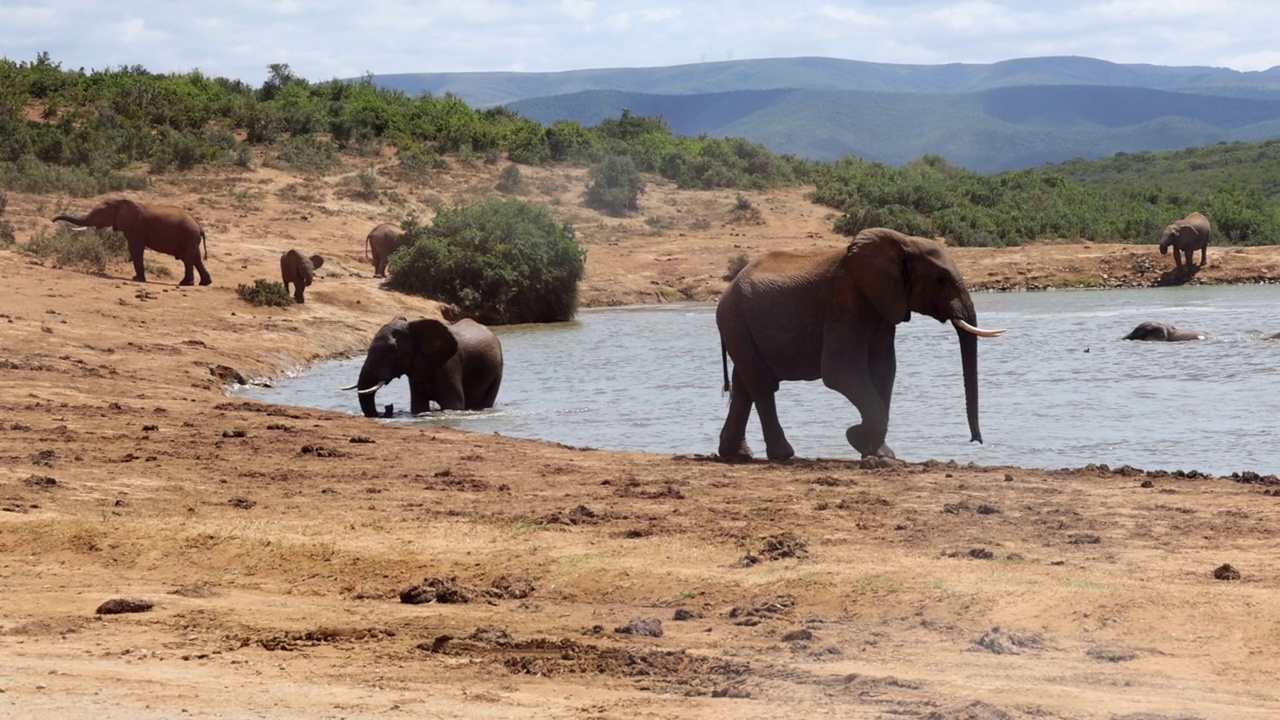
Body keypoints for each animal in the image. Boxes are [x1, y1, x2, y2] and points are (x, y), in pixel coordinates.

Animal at [51, 197, 209, 286]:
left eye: (101, 213)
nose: (52, 220)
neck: (121, 202)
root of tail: (199, 226)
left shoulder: (135, 228)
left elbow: (135, 249)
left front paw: (137, 279)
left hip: (188, 236)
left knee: (187, 259)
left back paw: (185, 284)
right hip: (192, 239)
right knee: (196, 258)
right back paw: (205, 283)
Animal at [345, 313, 504, 415]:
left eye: (392, 350)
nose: (388, 407)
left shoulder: (449, 365)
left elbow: (453, 404)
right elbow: (418, 405)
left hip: (498, 369)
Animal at [716, 225, 1003, 458]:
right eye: (941, 279)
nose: (976, 441)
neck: (903, 242)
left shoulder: (883, 309)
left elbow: (884, 371)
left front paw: (879, 454)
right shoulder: (846, 303)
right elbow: (841, 372)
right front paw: (856, 438)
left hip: (740, 328)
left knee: (744, 386)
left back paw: (736, 454)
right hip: (736, 321)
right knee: (762, 385)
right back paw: (783, 455)